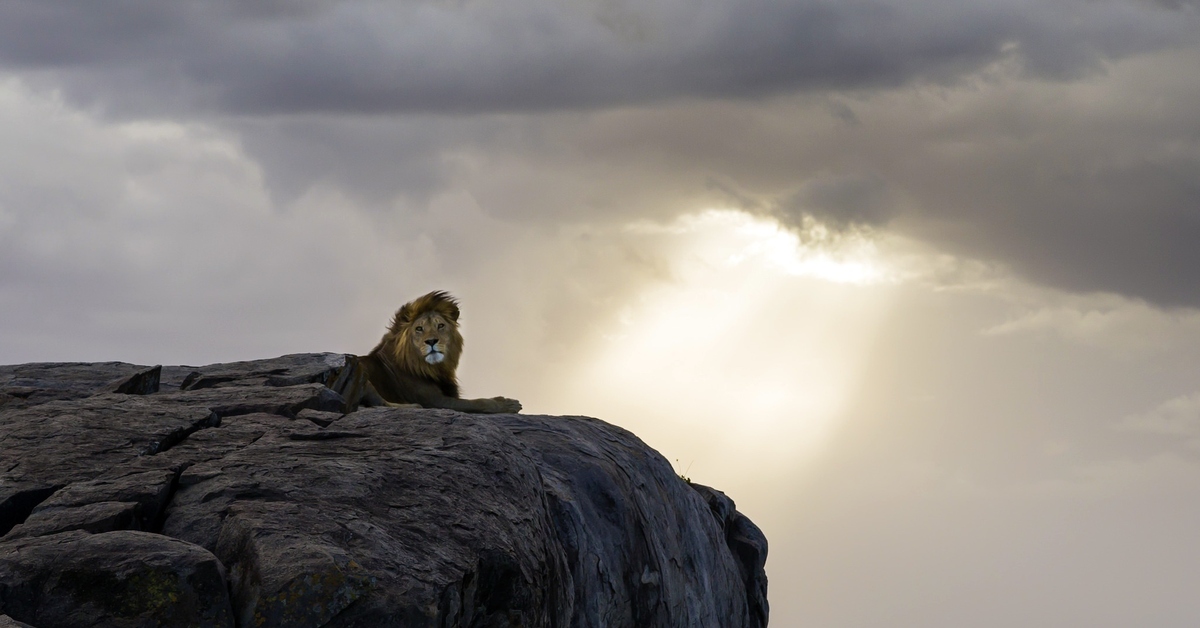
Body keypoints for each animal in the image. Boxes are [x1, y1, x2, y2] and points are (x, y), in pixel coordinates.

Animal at [328, 292, 520, 415]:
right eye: (419, 329)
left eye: (440, 326)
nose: (432, 341)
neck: (434, 368)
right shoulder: (436, 401)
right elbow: (477, 402)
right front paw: (506, 403)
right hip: (361, 373)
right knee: (380, 402)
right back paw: (415, 407)